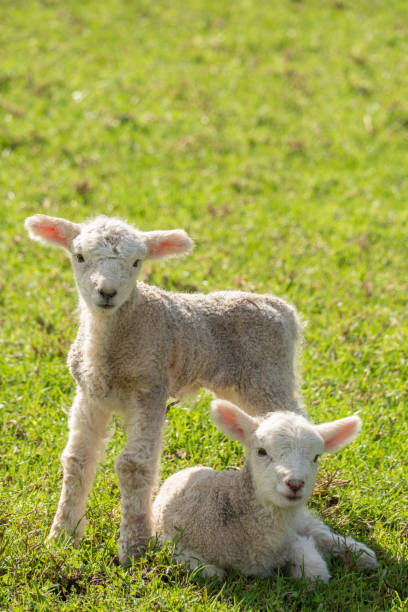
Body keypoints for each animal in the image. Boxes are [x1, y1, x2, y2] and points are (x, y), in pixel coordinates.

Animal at [23, 215, 302, 564]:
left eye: (136, 262)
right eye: (80, 257)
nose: (107, 292)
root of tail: (285, 310)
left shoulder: (150, 388)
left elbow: (133, 466)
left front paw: (133, 549)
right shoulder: (90, 395)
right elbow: (76, 461)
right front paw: (61, 539)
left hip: (269, 377)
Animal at [153, 400, 380, 580]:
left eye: (316, 457)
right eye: (261, 451)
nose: (295, 484)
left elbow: (313, 569)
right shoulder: (169, 537)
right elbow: (205, 570)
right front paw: (210, 570)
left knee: (319, 531)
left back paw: (362, 555)